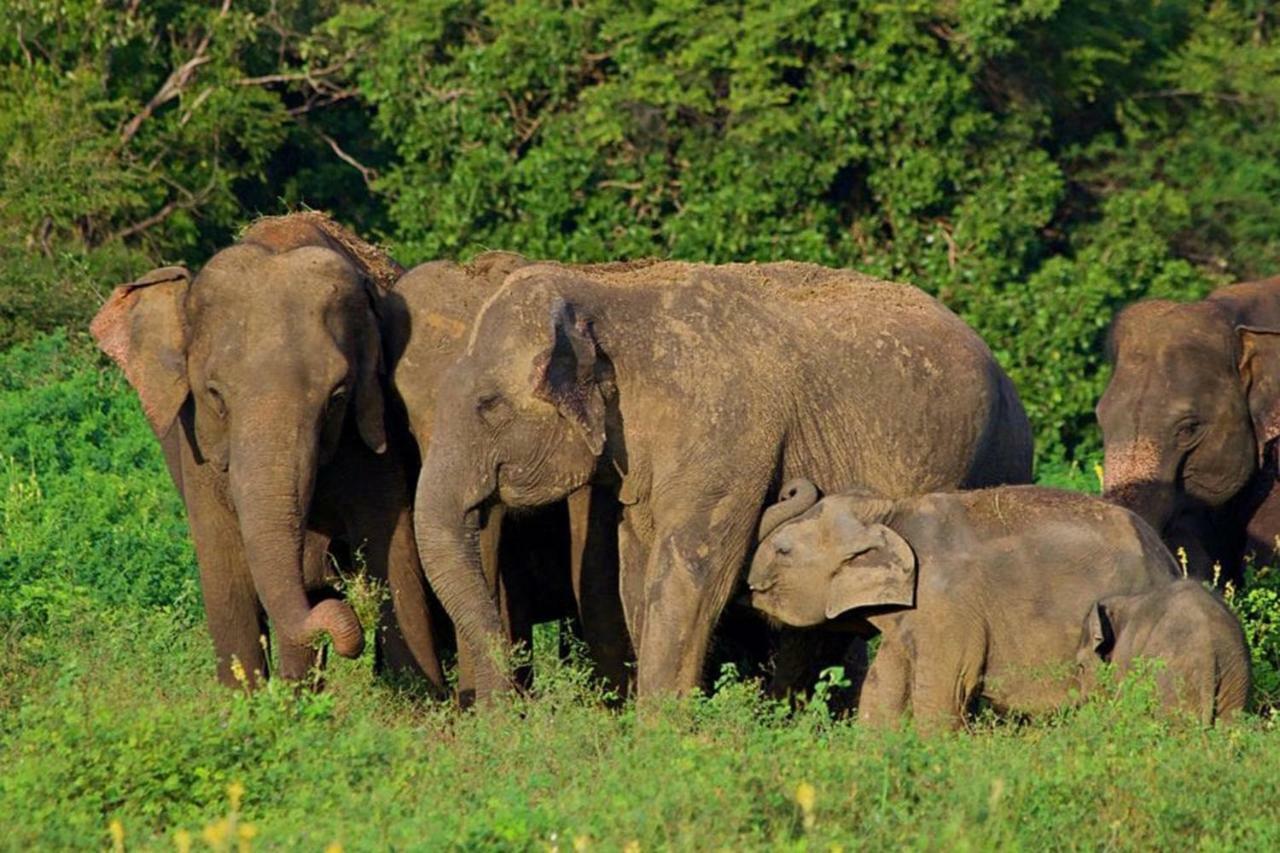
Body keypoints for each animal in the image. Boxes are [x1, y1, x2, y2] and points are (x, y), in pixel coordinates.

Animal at [90, 212, 445, 691]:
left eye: (337, 396)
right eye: (215, 394)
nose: (341, 614)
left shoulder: (375, 429)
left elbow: (393, 550)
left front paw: (420, 701)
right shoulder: (194, 442)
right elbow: (224, 567)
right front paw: (250, 704)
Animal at [414, 261, 1034, 696]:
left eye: (488, 405)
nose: (520, 705)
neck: (611, 294)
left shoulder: (727, 431)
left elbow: (693, 573)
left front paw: (659, 733)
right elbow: (638, 572)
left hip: (995, 456)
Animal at [747, 481, 1177, 727]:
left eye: (783, 550)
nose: (788, 488)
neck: (891, 510)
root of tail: (1168, 561)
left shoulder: (948, 604)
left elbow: (943, 689)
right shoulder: (908, 617)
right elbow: (882, 687)